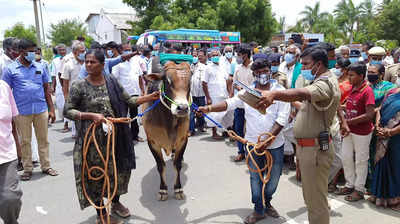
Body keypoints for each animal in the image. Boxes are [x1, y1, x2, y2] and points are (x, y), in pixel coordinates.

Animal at [142, 60, 192, 201]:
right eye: (167, 81)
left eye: (190, 82)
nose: (182, 108)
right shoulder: (152, 142)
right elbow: (160, 166)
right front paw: (163, 190)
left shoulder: (183, 140)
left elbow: (177, 165)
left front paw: (178, 189)